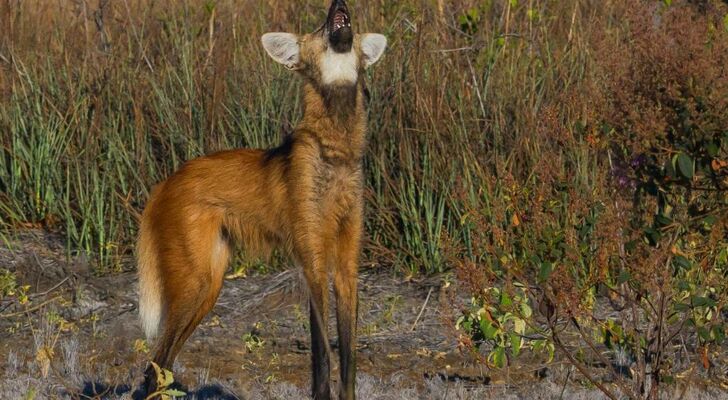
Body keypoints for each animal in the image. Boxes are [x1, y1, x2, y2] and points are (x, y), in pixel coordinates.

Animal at [137, 1, 386, 398]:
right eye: (320, 27)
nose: (339, 5)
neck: (335, 151)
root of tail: (165, 181)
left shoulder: (347, 264)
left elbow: (348, 360)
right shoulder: (313, 260)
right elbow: (321, 356)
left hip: (210, 285)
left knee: (163, 366)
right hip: (194, 285)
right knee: (152, 368)